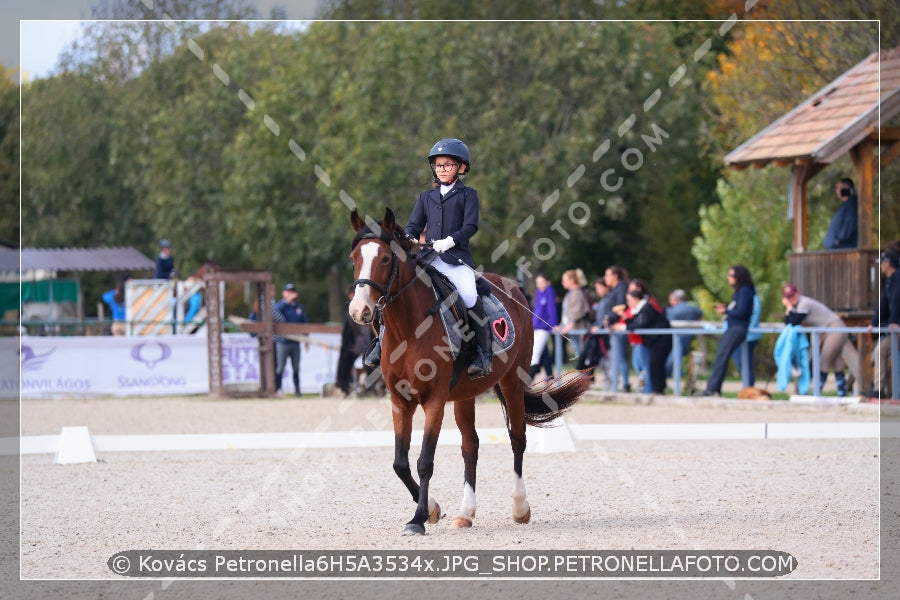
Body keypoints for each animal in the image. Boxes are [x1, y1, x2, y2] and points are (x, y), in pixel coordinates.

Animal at [348, 207, 596, 536]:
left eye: (386, 259)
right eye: (354, 259)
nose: (359, 311)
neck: (408, 328)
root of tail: (513, 287)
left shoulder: (434, 400)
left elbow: (425, 460)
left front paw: (418, 519)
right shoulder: (400, 401)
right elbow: (400, 463)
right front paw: (432, 510)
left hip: (513, 381)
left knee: (517, 438)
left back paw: (520, 508)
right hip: (465, 395)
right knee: (471, 446)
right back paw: (466, 513)